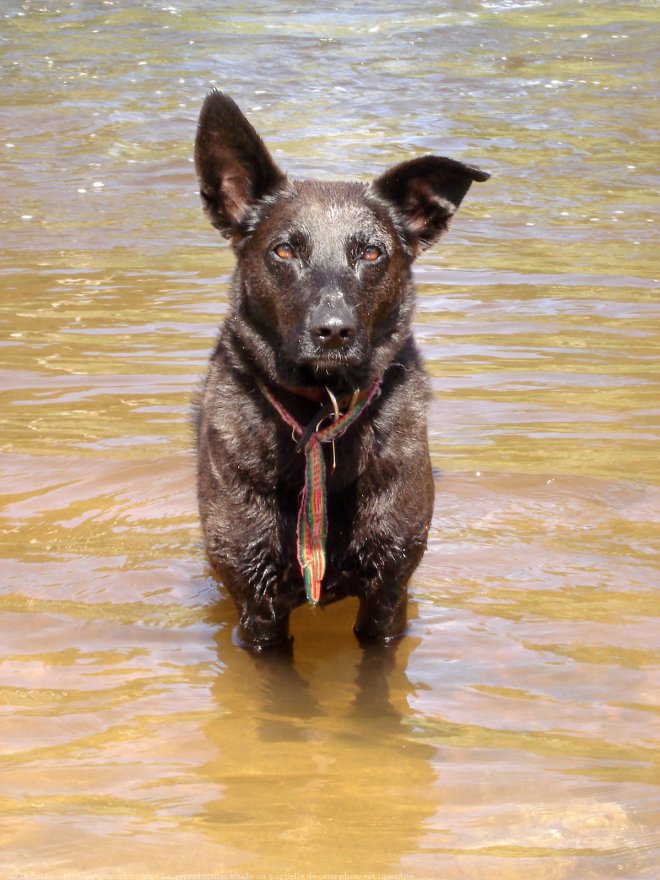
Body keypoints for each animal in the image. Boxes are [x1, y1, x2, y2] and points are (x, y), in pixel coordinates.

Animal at [193, 93, 488, 648]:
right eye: (284, 249)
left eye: (371, 251)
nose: (333, 332)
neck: (321, 418)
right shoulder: (257, 607)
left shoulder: (388, 595)